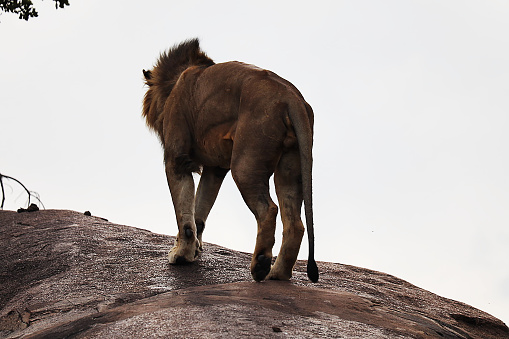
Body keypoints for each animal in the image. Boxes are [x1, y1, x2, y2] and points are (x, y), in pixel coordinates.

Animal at [142, 38, 318, 282]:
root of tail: (291, 97)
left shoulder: (176, 158)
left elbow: (185, 214)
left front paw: (180, 255)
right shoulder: (215, 168)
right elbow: (199, 211)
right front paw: (194, 251)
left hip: (245, 164)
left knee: (269, 210)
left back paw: (260, 265)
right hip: (291, 165)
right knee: (295, 223)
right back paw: (277, 274)